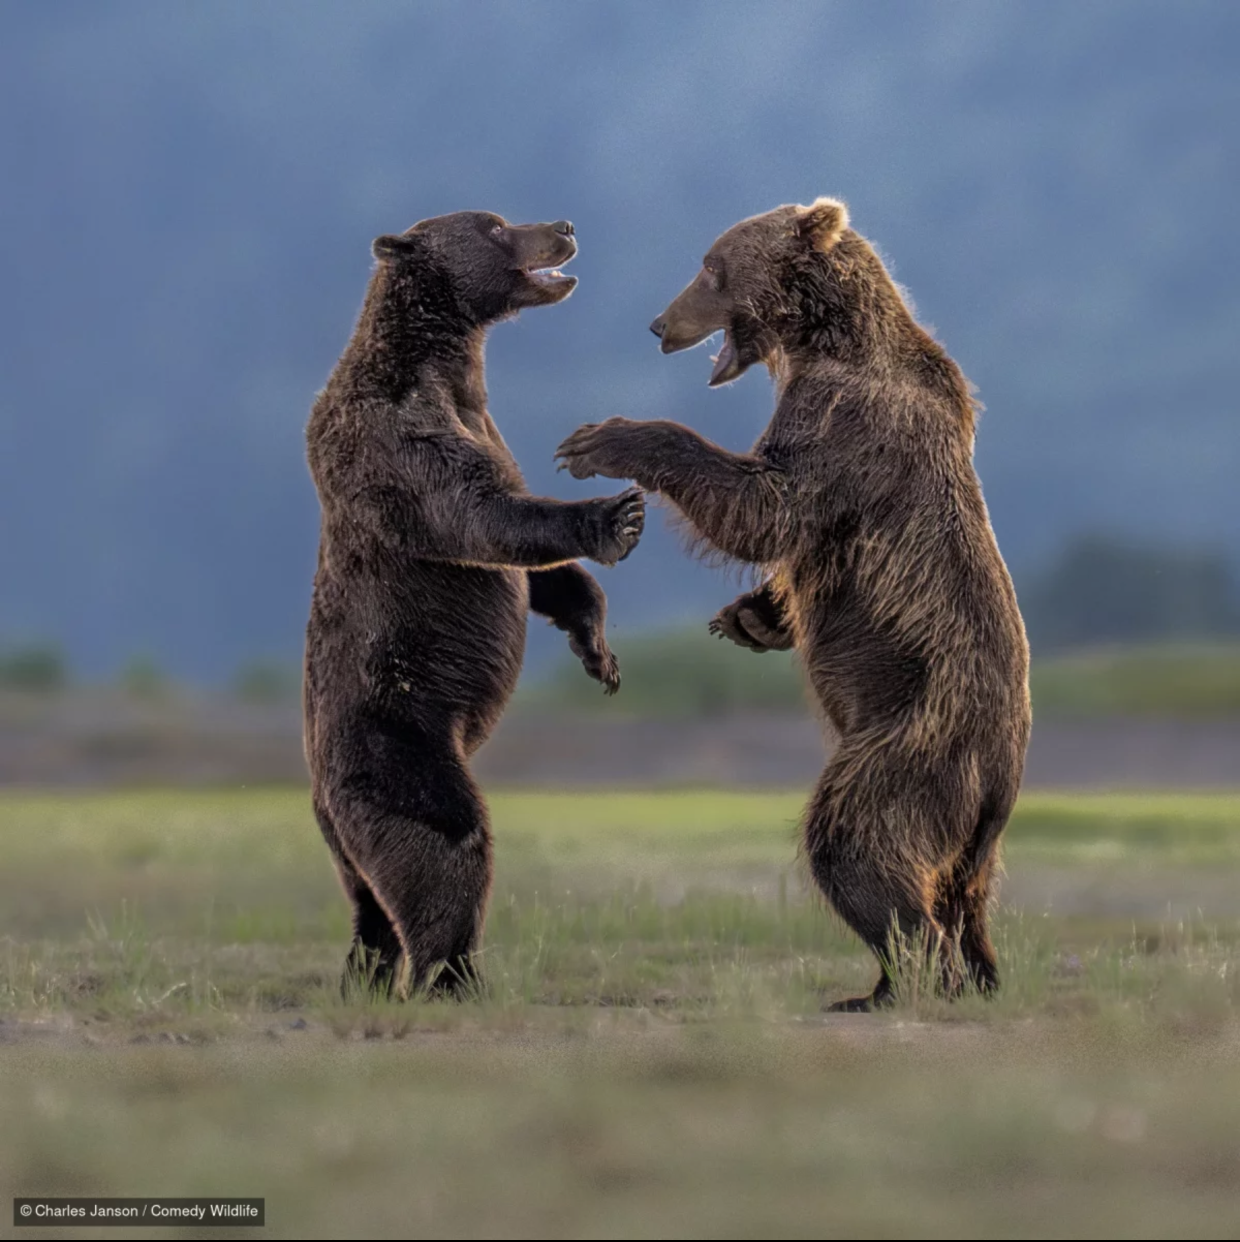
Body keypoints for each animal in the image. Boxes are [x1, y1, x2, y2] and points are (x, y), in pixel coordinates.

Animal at [305, 211, 645, 1000]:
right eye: (492, 226)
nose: (564, 224)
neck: (450, 365)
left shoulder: (481, 422)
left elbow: (536, 570)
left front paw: (599, 652)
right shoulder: (399, 437)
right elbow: (482, 517)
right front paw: (616, 516)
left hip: (340, 826)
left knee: (368, 900)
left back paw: (368, 974)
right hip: (395, 735)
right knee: (445, 839)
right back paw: (452, 975)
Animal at [556, 198, 1031, 1011]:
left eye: (711, 266)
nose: (658, 323)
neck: (822, 340)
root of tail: (1001, 782)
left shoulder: (843, 424)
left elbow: (766, 507)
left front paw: (600, 439)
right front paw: (748, 618)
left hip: (915, 733)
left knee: (855, 838)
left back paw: (904, 981)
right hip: (970, 824)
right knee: (963, 894)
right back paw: (957, 975)